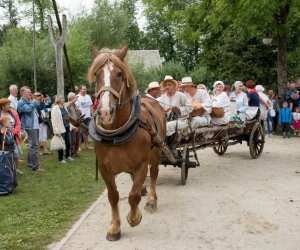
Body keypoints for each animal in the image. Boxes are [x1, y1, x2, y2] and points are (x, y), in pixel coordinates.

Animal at [86, 45, 166, 240]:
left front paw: (134, 217)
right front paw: (115, 227)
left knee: (154, 174)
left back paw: (151, 199)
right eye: (97, 73)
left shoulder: (141, 164)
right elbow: (113, 196)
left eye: (119, 74)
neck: (118, 133)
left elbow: (133, 195)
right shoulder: (105, 168)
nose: (105, 112)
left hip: (156, 151)